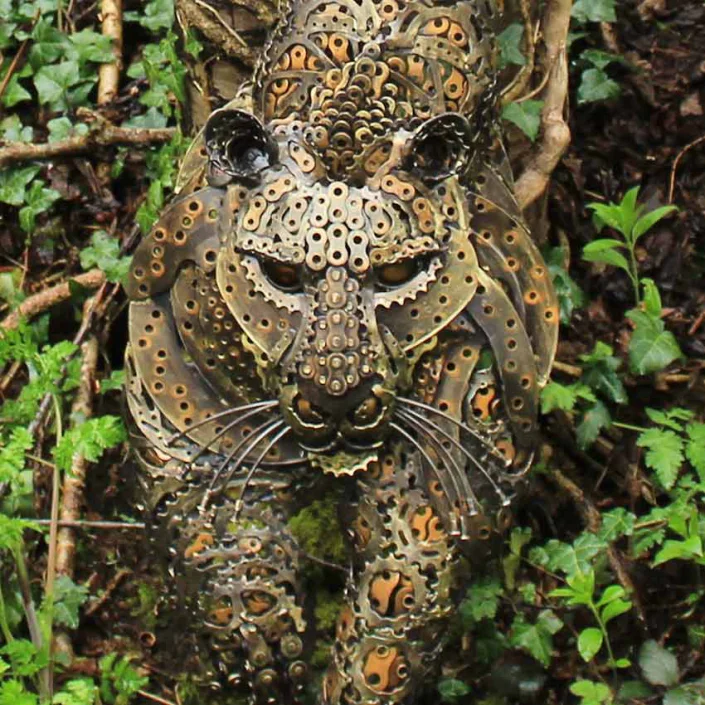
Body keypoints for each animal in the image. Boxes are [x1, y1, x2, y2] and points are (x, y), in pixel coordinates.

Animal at [123, 0, 558, 702]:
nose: (336, 397)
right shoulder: (187, 419)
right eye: (282, 275)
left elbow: (397, 604)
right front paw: (265, 649)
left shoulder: (456, 446)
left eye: (398, 273)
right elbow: (216, 540)